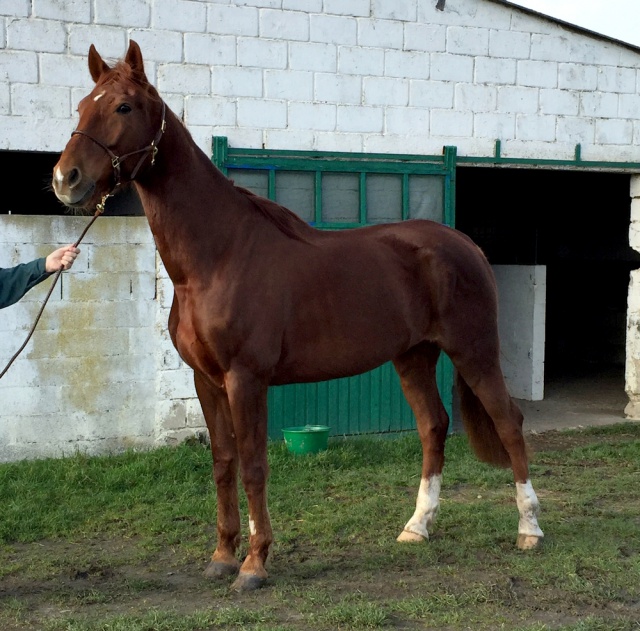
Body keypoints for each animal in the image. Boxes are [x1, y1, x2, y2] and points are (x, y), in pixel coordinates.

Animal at [50, 40, 544, 592]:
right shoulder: (206, 381)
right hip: (413, 357)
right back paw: (417, 526)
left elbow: (252, 466)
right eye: (81, 106)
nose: (65, 180)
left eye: (123, 107)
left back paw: (529, 529)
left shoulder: (246, 378)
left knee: (509, 422)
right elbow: (222, 465)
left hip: (474, 351)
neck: (216, 257)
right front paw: (221, 556)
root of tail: (466, 245)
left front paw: (254, 565)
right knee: (433, 426)